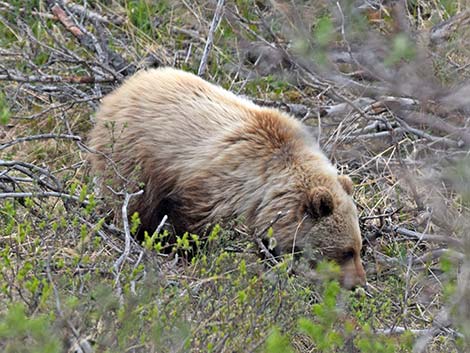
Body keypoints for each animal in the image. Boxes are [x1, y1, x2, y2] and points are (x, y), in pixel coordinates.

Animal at [88, 66, 368, 288]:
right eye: (346, 251)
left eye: (358, 248)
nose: (359, 282)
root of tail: (122, 88)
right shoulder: (217, 185)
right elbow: (194, 222)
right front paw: (188, 250)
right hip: (133, 153)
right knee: (135, 200)